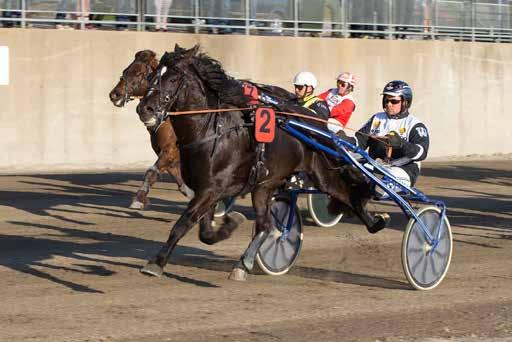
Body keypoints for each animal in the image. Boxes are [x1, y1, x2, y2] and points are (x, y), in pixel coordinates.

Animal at [108, 48, 192, 208]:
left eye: (139, 73)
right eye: (125, 70)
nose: (114, 95)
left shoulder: (171, 149)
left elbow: (151, 173)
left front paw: (139, 199)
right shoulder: (166, 154)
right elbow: (179, 179)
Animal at [136, 44, 388, 280]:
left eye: (173, 78)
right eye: (152, 76)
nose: (144, 108)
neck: (212, 132)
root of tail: (316, 122)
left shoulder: (210, 190)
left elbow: (182, 224)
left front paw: (155, 264)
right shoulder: (207, 190)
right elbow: (205, 233)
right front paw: (230, 225)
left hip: (321, 173)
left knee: (346, 193)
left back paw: (374, 221)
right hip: (264, 185)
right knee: (266, 225)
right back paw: (244, 263)